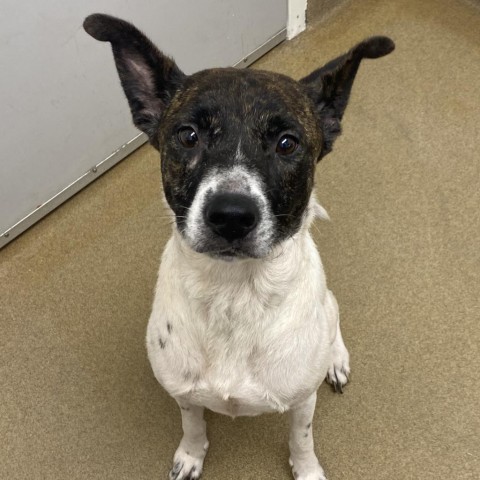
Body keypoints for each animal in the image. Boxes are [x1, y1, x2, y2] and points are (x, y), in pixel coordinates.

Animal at [84, 15, 396, 480]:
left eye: (287, 143)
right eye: (188, 135)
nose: (231, 215)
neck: (234, 294)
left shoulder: (302, 401)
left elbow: (302, 440)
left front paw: (307, 470)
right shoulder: (184, 394)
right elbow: (193, 425)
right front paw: (190, 456)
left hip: (327, 309)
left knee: (334, 319)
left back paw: (335, 360)